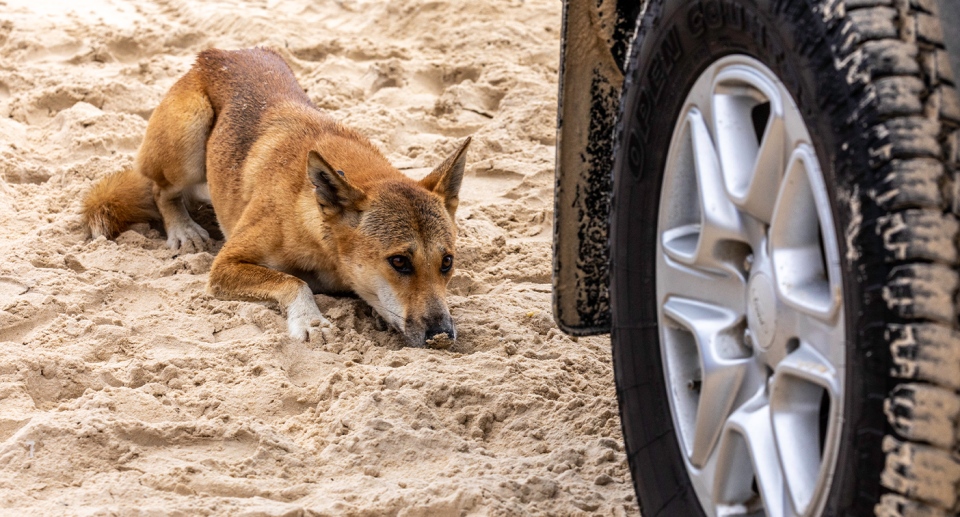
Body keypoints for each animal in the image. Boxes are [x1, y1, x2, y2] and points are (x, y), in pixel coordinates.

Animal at [82, 47, 468, 346]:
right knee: (162, 191)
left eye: (447, 262)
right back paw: (183, 229)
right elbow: (294, 281)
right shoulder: (226, 264)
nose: (440, 336)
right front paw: (310, 319)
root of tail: (216, 54)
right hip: (188, 137)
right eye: (399, 261)